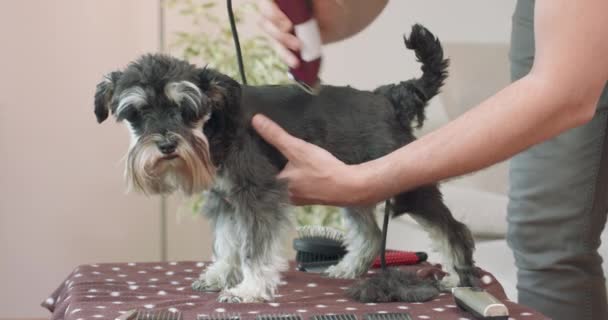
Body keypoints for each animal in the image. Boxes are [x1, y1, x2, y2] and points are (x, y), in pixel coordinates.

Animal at [94, 24, 476, 302]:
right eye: (137, 112)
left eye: (186, 109)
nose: (166, 145)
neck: (217, 125)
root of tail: (389, 97)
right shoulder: (225, 200)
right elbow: (227, 242)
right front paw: (219, 275)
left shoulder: (258, 196)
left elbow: (253, 247)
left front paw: (249, 289)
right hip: (355, 183)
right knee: (370, 232)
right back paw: (348, 267)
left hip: (409, 186)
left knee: (453, 229)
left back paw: (457, 276)